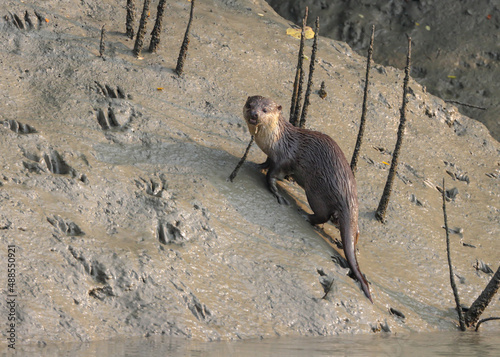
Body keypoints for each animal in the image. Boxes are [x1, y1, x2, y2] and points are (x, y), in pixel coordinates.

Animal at [242, 94, 372, 300]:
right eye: (250, 104)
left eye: (265, 110)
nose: (254, 114)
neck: (277, 140)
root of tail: (347, 194)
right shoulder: (272, 155)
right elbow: (266, 163)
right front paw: (257, 164)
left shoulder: (284, 159)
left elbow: (272, 174)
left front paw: (277, 194)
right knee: (354, 229)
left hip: (316, 193)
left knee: (322, 215)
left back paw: (305, 215)